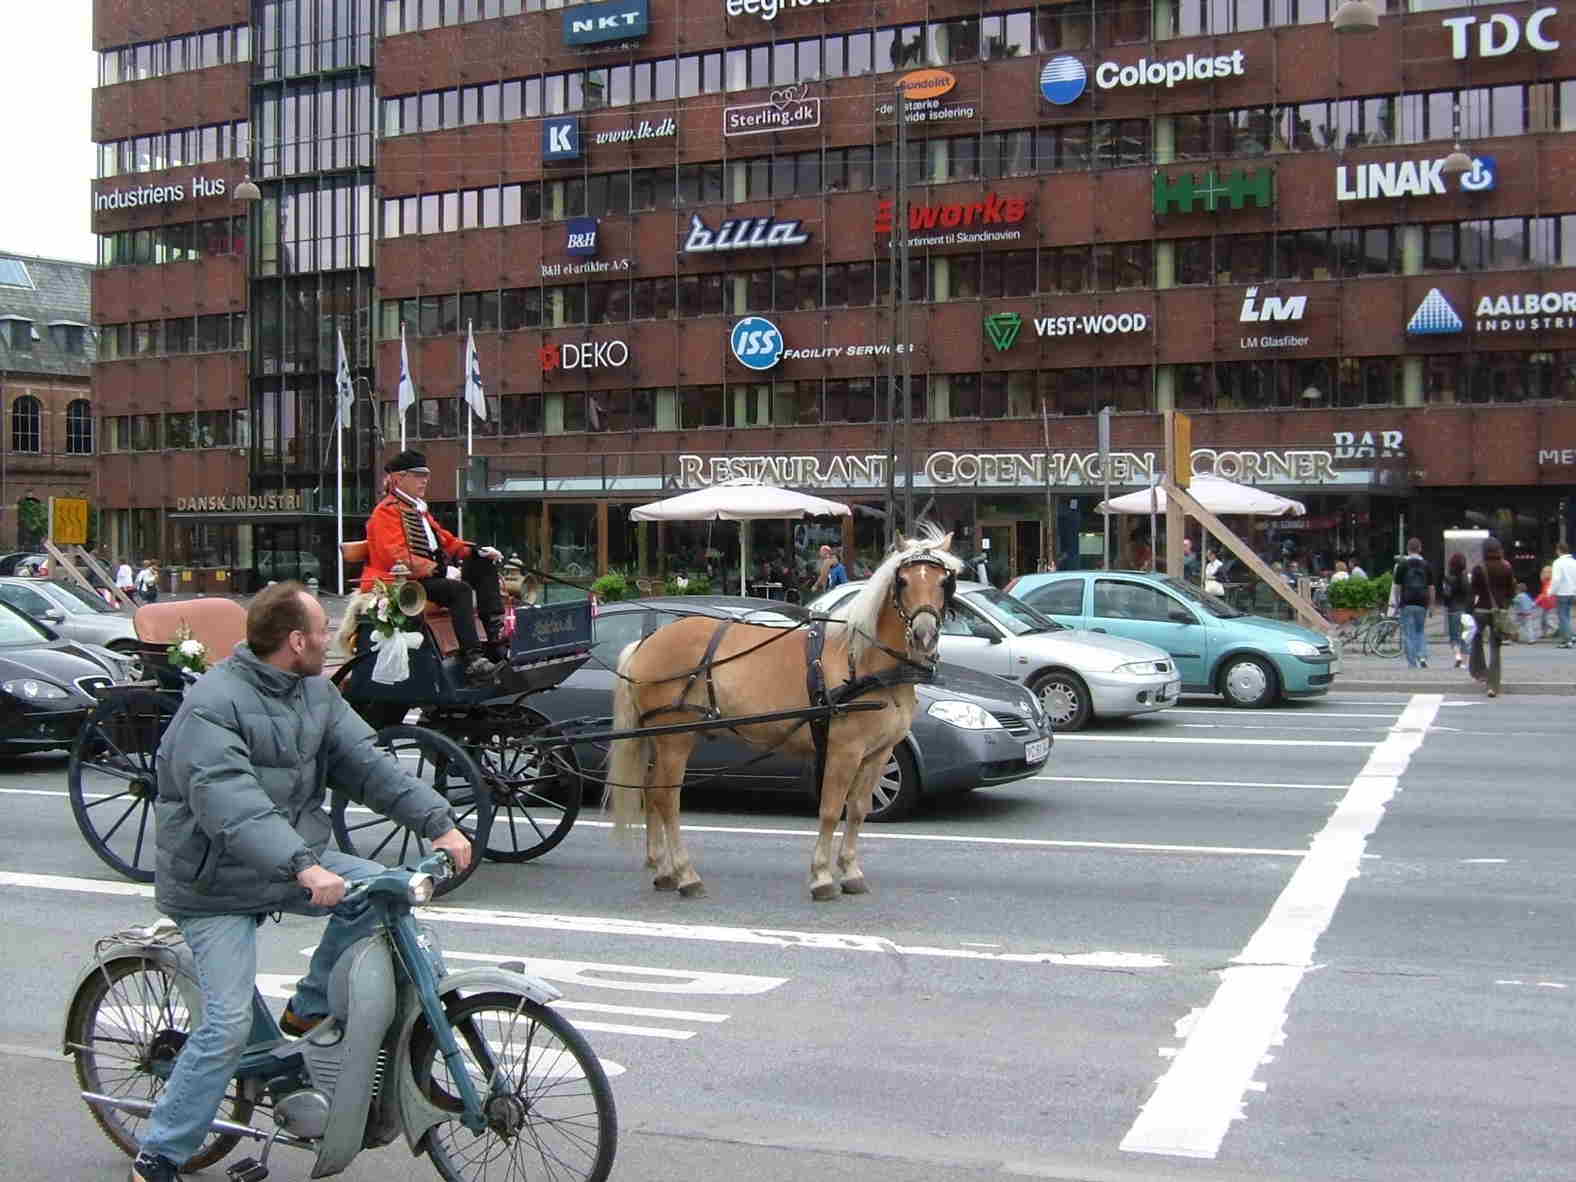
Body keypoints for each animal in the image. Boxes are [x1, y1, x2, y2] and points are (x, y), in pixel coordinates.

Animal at [605, 532, 958, 901]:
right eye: (902, 581)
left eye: (944, 581)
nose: (924, 635)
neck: (866, 664)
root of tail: (646, 643)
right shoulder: (844, 750)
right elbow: (831, 811)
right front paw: (822, 876)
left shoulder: (877, 753)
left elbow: (858, 810)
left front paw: (850, 871)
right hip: (675, 739)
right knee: (667, 799)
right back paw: (686, 874)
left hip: (660, 738)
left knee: (650, 792)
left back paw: (662, 868)